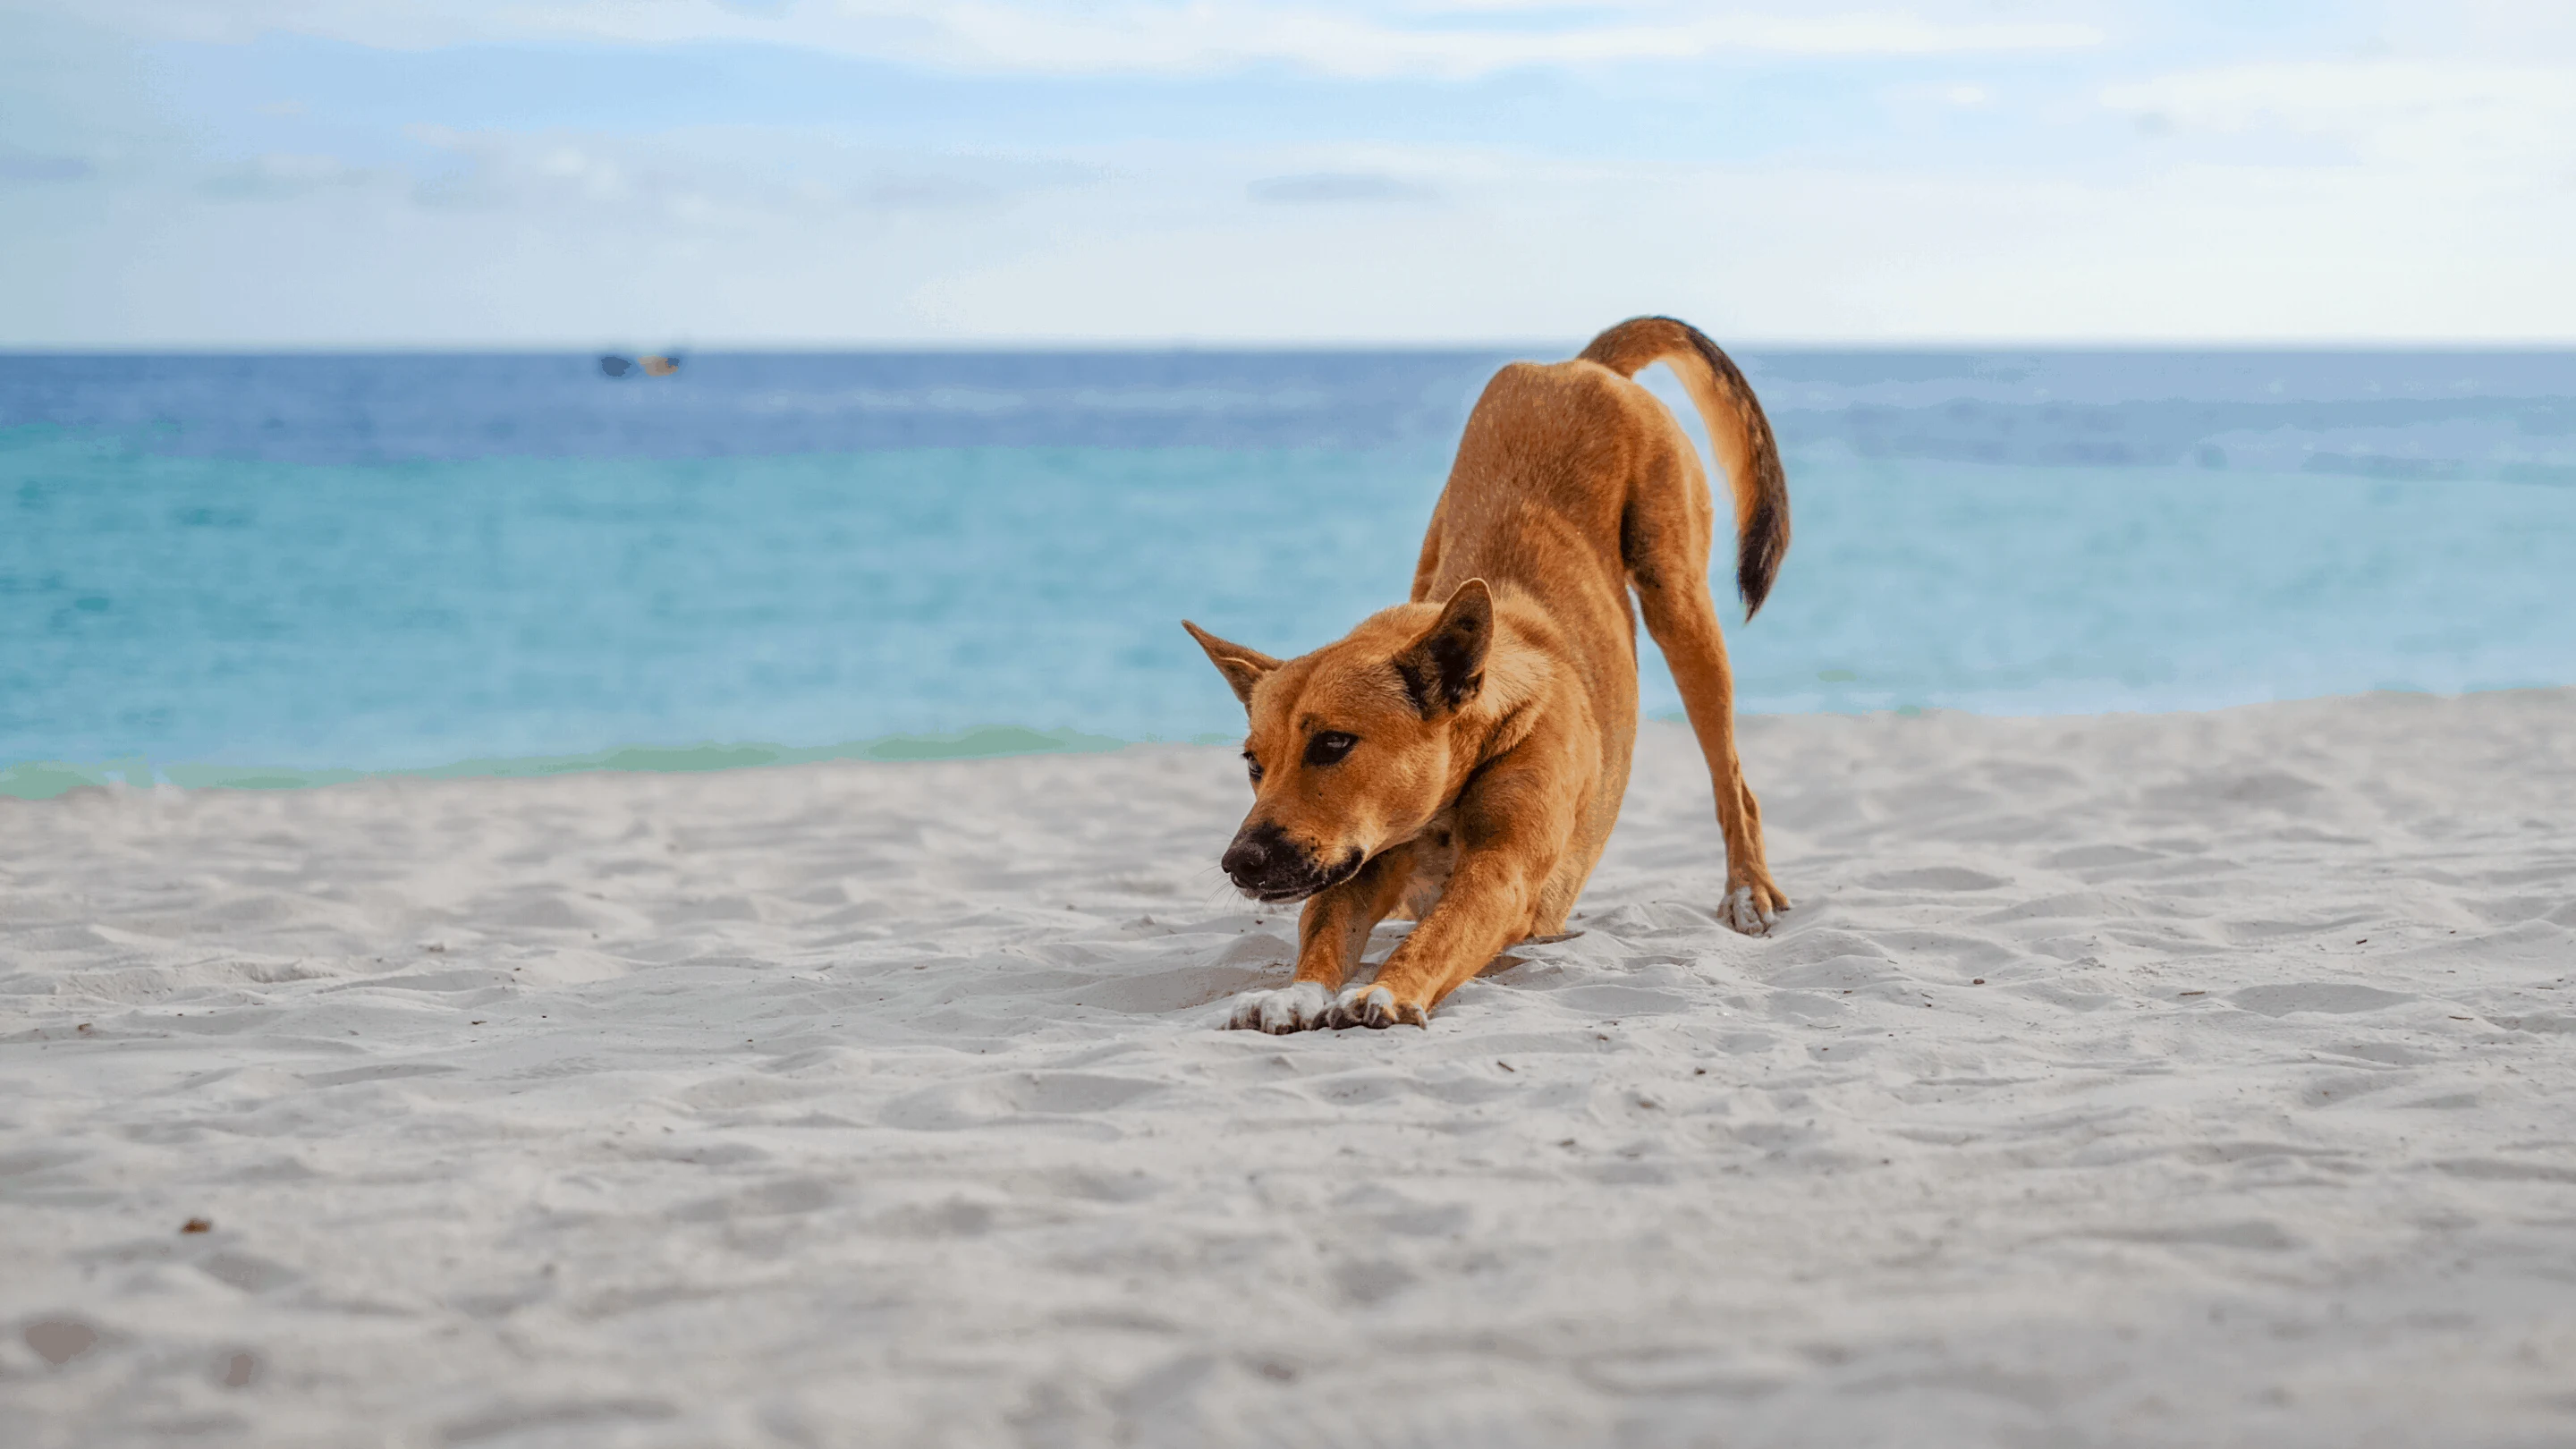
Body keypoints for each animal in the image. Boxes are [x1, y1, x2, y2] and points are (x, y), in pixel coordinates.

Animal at [1184, 320, 1792, 1031]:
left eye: (1333, 744)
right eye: (1254, 764)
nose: (1239, 863)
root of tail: (1579, 367)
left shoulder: (1501, 874)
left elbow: (1440, 934)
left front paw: (1388, 990)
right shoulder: (1356, 870)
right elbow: (1327, 929)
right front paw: (1297, 992)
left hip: (1679, 600)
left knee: (1731, 777)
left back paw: (1748, 890)